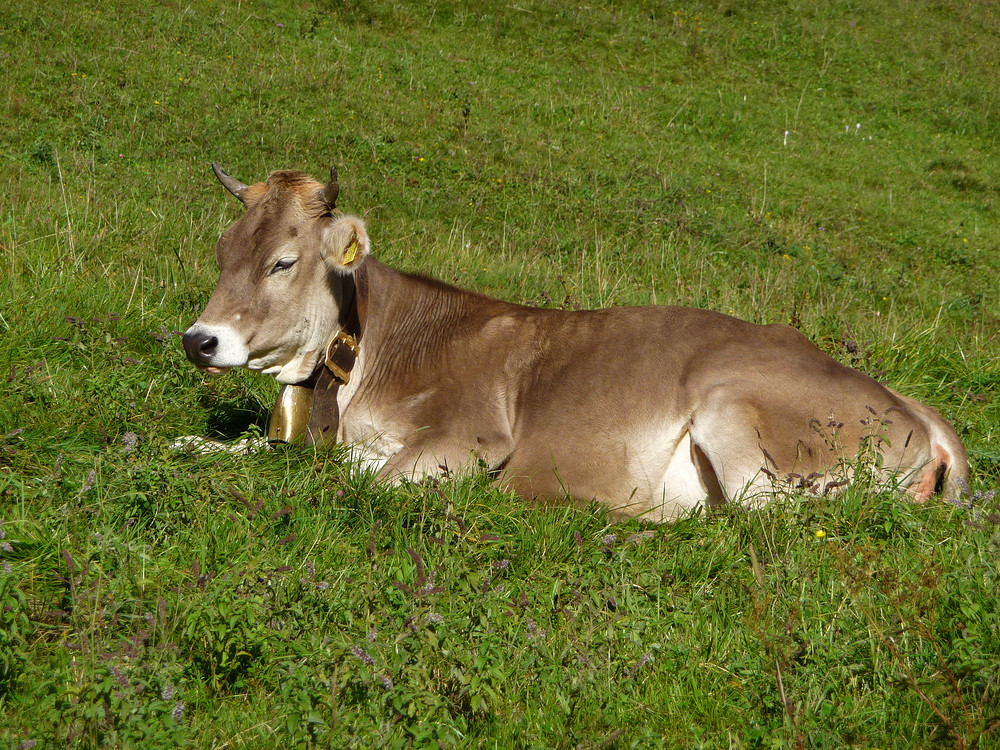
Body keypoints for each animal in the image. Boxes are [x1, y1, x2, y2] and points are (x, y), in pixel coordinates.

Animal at [182, 163, 968, 524]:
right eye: (221, 252)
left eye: (284, 262)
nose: (200, 339)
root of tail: (917, 412)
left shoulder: (473, 435)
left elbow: (364, 475)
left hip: (736, 412)